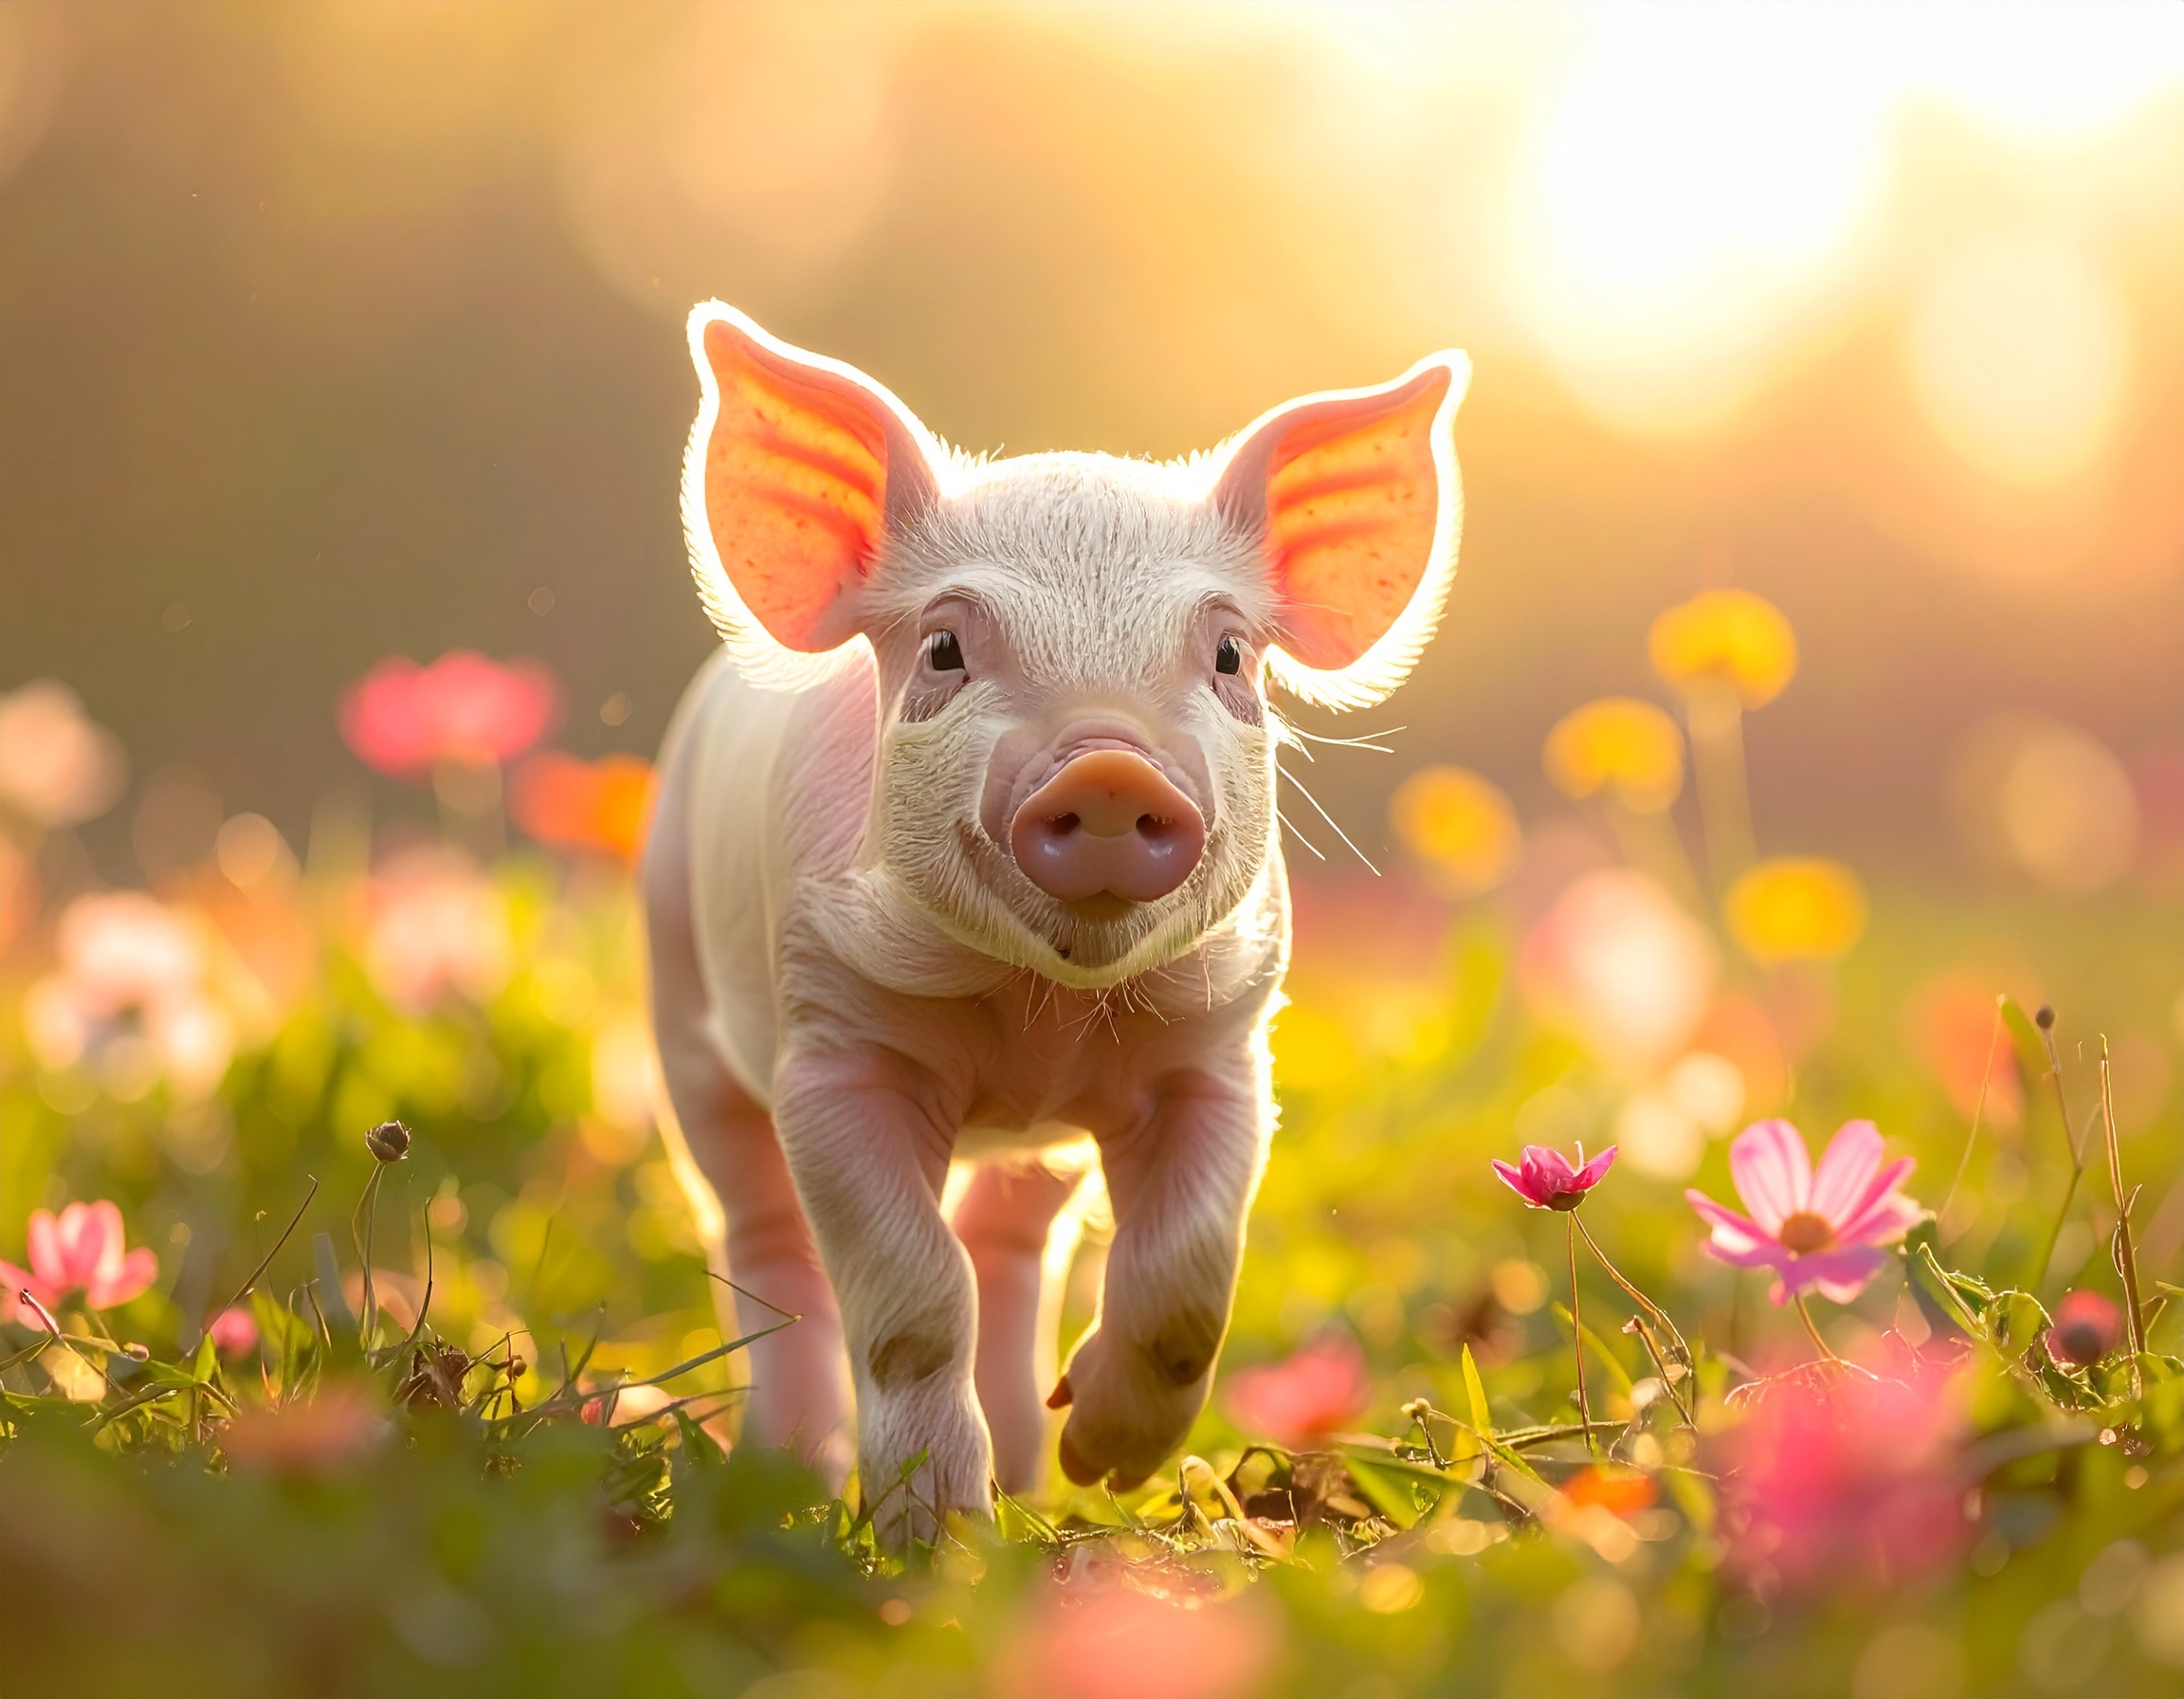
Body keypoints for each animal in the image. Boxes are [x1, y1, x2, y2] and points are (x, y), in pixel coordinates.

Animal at [643, 302, 1468, 1534]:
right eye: (945, 648)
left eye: (1230, 653)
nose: (1112, 766)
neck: (1042, 1022)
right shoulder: (832, 1048)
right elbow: (913, 1299)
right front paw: (938, 1532)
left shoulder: (1221, 1054)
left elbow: (1187, 1277)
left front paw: (1105, 1467)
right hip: (680, 1001)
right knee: (764, 1238)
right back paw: (791, 1480)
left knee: (1012, 1237)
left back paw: (1036, 1471)